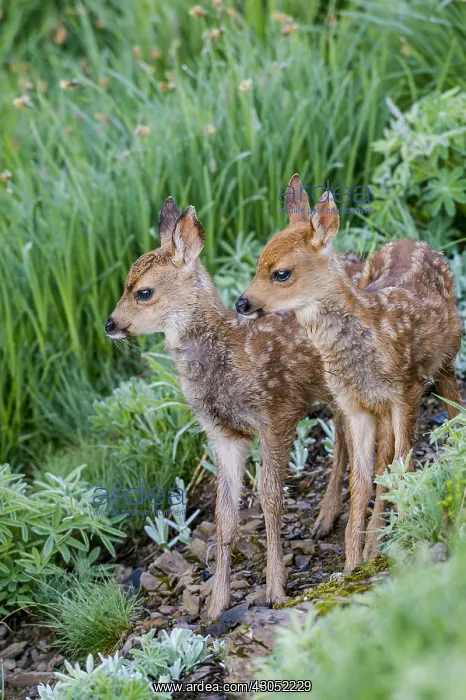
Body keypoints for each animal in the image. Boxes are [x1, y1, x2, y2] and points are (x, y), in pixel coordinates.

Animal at [105, 196, 365, 619]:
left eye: (143, 292)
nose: (110, 324)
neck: (230, 355)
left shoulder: (276, 413)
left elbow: (270, 499)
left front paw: (275, 590)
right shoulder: (223, 433)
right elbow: (224, 515)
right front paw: (216, 605)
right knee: (343, 429)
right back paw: (325, 519)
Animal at [236, 173, 462, 570]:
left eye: (281, 273)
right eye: (258, 263)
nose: (242, 302)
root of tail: (413, 240)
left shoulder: (406, 391)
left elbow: (402, 463)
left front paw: (403, 537)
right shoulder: (356, 407)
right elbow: (361, 482)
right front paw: (353, 562)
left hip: (448, 358)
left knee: (453, 411)